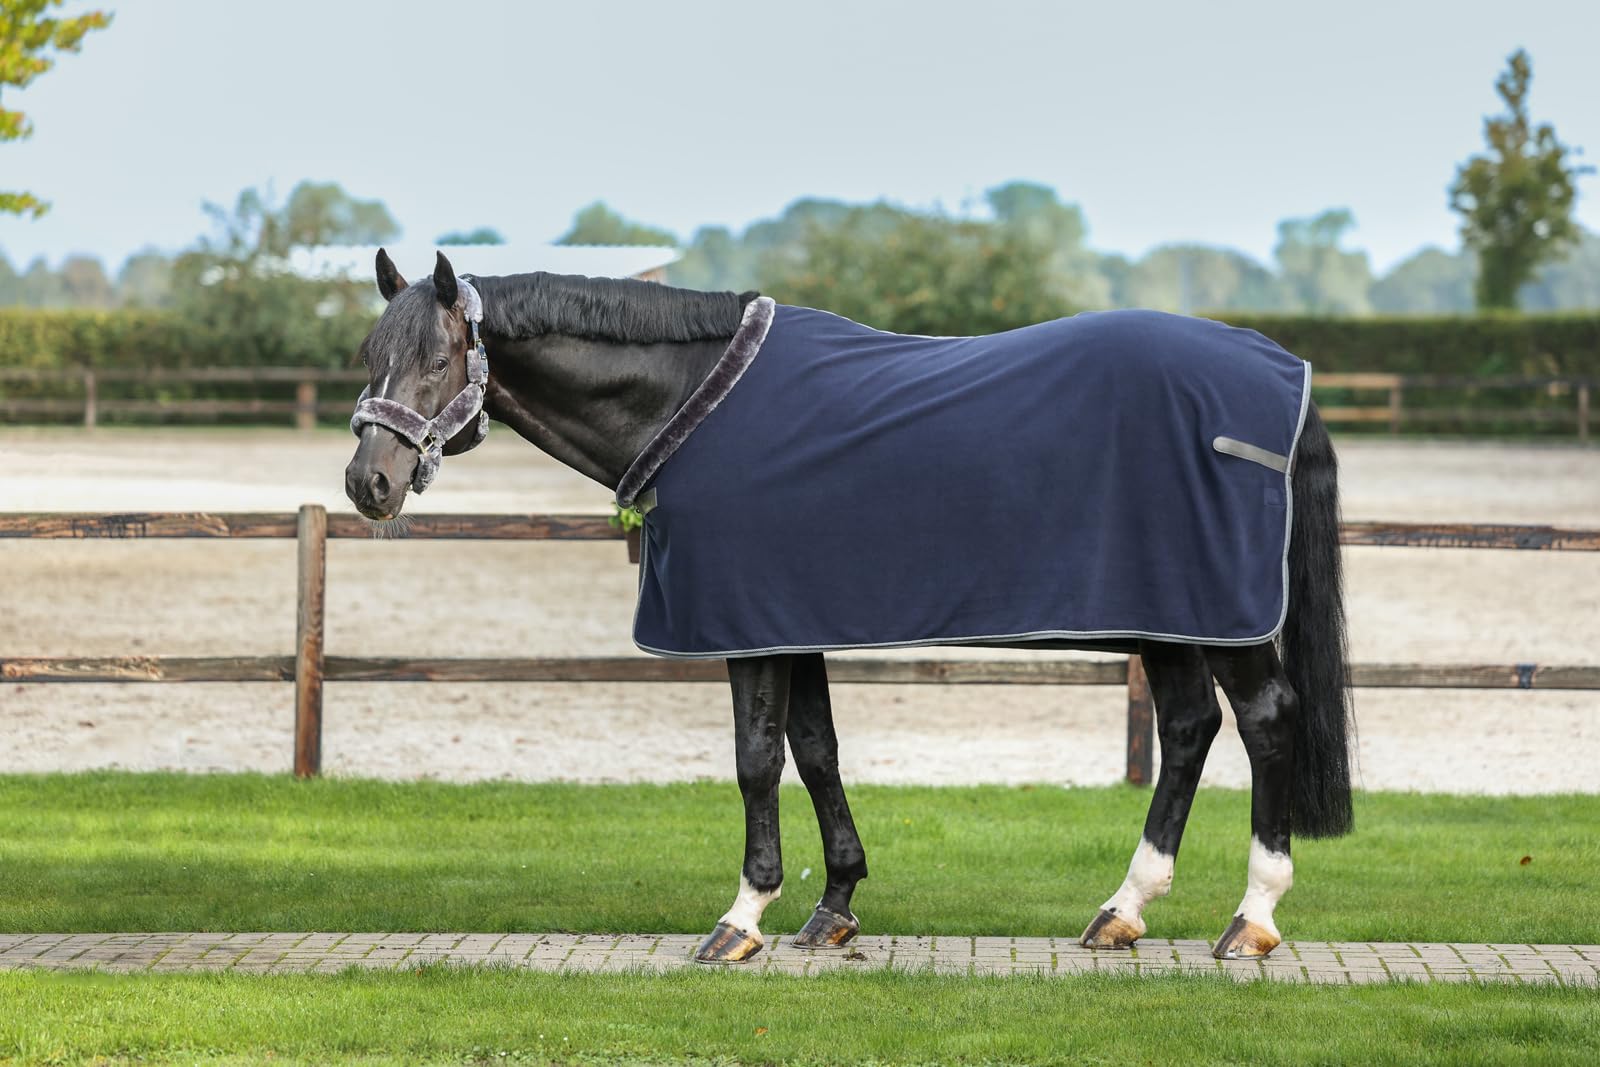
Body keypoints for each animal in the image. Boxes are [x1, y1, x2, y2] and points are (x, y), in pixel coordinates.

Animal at [344, 249, 1355, 964]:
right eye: (369, 355)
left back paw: (1251, 917)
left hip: (1220, 618)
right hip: (1172, 617)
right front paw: (833, 906)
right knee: (1187, 729)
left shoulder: (749, 629)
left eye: (440, 355)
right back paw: (1122, 909)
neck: (693, 400)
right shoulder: (791, 620)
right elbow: (816, 749)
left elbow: (756, 759)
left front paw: (741, 917)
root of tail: (1282, 370)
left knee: (1266, 719)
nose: (369, 482)